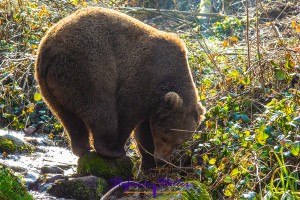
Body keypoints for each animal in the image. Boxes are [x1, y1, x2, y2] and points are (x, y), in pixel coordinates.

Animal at [34, 7, 204, 170]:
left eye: (180, 142)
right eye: (165, 136)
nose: (162, 160)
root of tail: (49, 48)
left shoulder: (153, 103)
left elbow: (144, 131)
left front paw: (148, 163)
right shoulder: (145, 75)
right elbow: (127, 113)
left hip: (48, 85)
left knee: (67, 116)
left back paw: (82, 148)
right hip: (87, 67)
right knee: (101, 108)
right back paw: (110, 150)